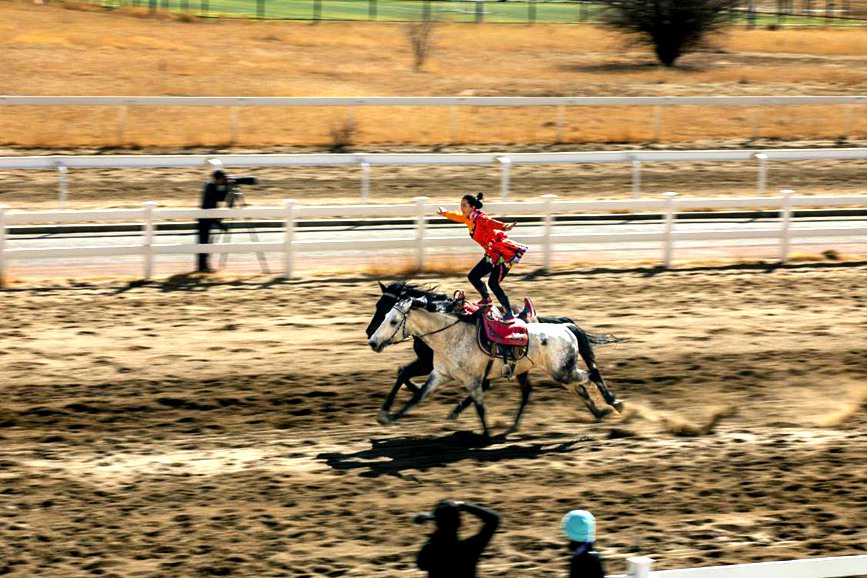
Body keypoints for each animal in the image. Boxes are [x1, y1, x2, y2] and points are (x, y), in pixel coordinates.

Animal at [366, 280, 624, 424]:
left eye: (389, 315)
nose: (371, 338)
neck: (451, 331)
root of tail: (565, 327)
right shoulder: (438, 371)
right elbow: (412, 385)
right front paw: (392, 411)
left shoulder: (432, 365)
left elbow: (403, 374)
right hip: (553, 371)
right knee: (574, 387)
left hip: (560, 371)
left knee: (591, 376)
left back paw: (614, 403)